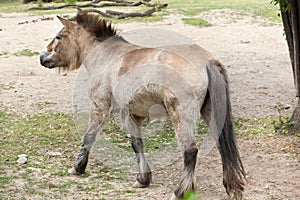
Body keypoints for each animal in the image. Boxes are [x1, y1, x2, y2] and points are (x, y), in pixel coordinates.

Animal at [39, 11, 246, 199]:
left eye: (59, 36)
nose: (42, 56)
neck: (107, 57)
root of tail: (207, 61)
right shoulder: (132, 114)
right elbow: (137, 143)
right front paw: (143, 179)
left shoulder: (102, 106)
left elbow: (90, 136)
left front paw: (77, 168)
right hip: (209, 112)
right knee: (221, 146)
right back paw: (232, 188)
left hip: (181, 115)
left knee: (190, 151)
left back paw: (180, 191)